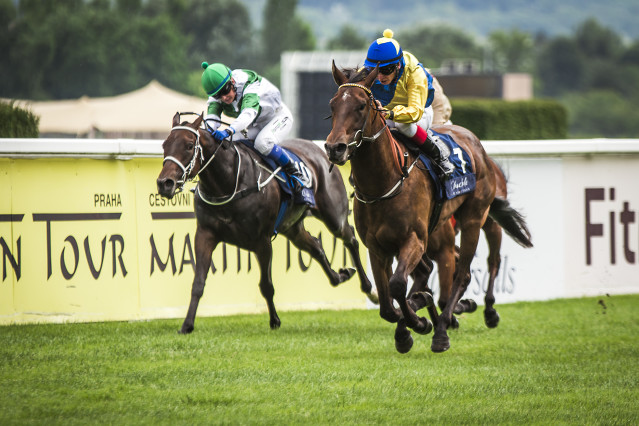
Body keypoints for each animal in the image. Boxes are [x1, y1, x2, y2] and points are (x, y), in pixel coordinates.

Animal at [158, 113, 378, 336]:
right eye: (164, 145)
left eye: (188, 145)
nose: (165, 183)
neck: (230, 182)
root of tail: (321, 150)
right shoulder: (205, 234)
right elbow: (198, 283)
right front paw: (187, 325)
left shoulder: (261, 241)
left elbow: (266, 285)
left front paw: (274, 320)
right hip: (292, 228)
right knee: (316, 247)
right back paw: (340, 276)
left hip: (333, 215)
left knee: (350, 238)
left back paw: (370, 289)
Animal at [328, 65, 532, 352]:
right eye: (333, 105)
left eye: (360, 106)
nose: (334, 148)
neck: (385, 183)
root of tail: (476, 144)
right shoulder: (377, 247)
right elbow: (387, 304)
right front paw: (410, 325)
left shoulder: (415, 239)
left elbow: (398, 285)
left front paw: (419, 323)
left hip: (476, 219)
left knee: (470, 269)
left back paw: (449, 327)